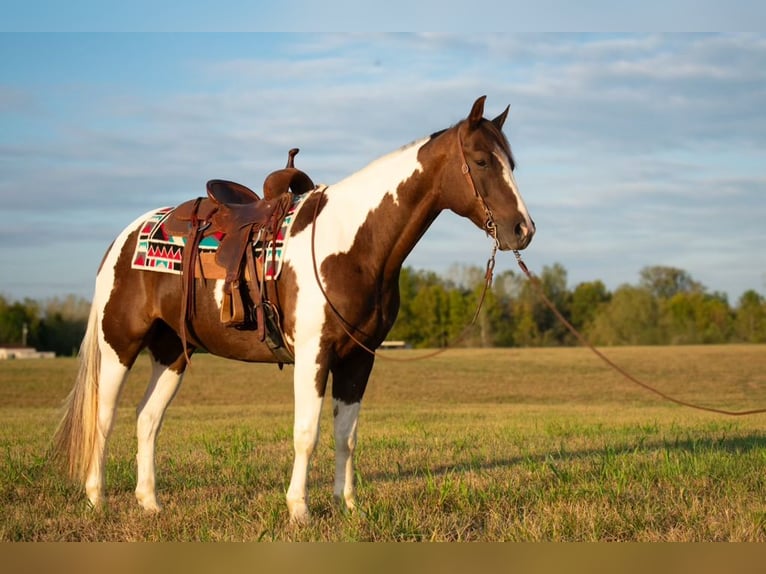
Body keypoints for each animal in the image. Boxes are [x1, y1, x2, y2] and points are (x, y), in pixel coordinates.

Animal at [54, 97, 536, 524]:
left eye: (511, 163)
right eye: (481, 161)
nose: (523, 230)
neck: (351, 244)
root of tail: (125, 237)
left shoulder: (359, 358)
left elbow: (346, 436)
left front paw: (349, 507)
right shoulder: (313, 354)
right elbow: (307, 434)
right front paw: (299, 510)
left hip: (173, 352)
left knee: (147, 419)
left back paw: (150, 504)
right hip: (119, 346)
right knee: (103, 417)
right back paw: (97, 500)